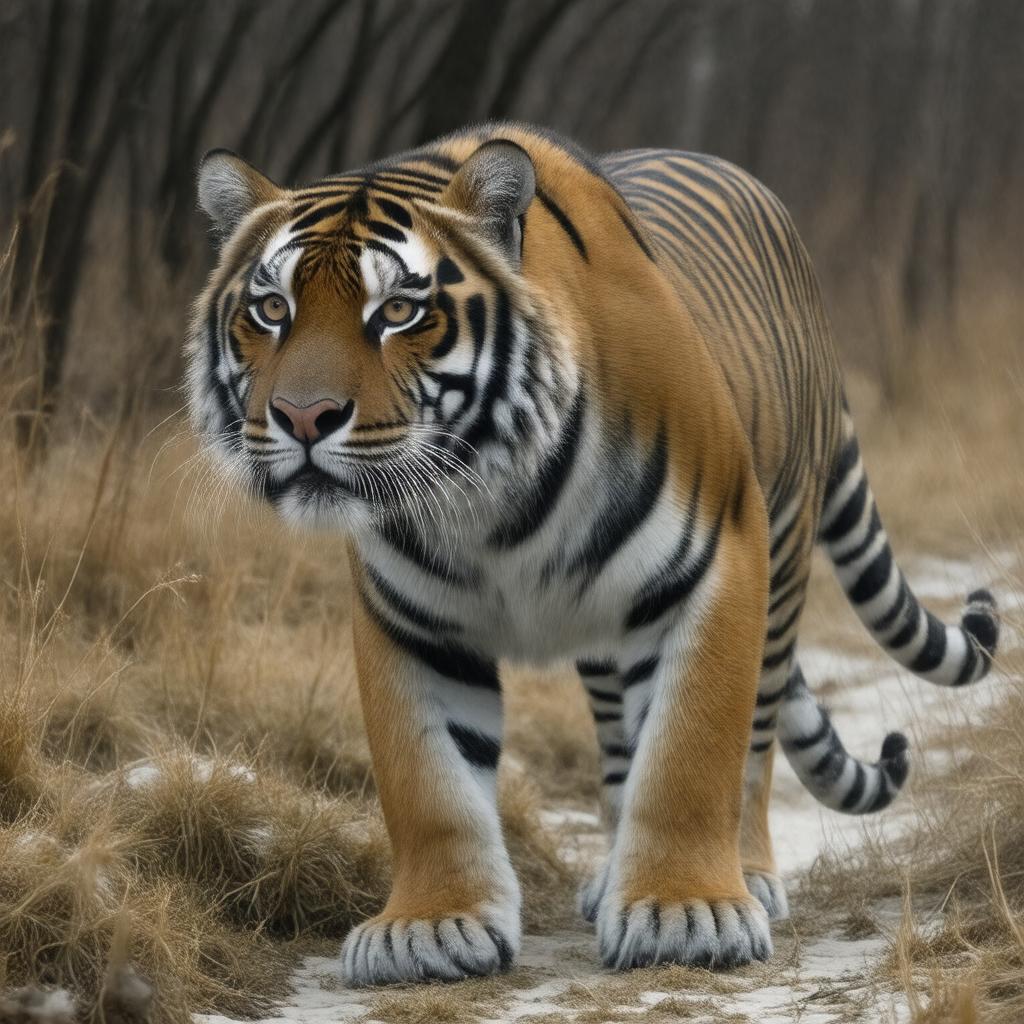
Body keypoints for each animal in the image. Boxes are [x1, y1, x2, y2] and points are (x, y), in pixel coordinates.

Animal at [185, 122, 999, 984]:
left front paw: (686, 914)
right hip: (605, 630)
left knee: (752, 745)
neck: (484, 497)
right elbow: (430, 784)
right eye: (272, 309)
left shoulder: (718, 564)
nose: (304, 417)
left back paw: (747, 876)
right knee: (617, 753)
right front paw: (430, 927)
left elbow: (690, 753)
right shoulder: (406, 619)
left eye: (400, 311)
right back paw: (613, 877)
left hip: (779, 568)